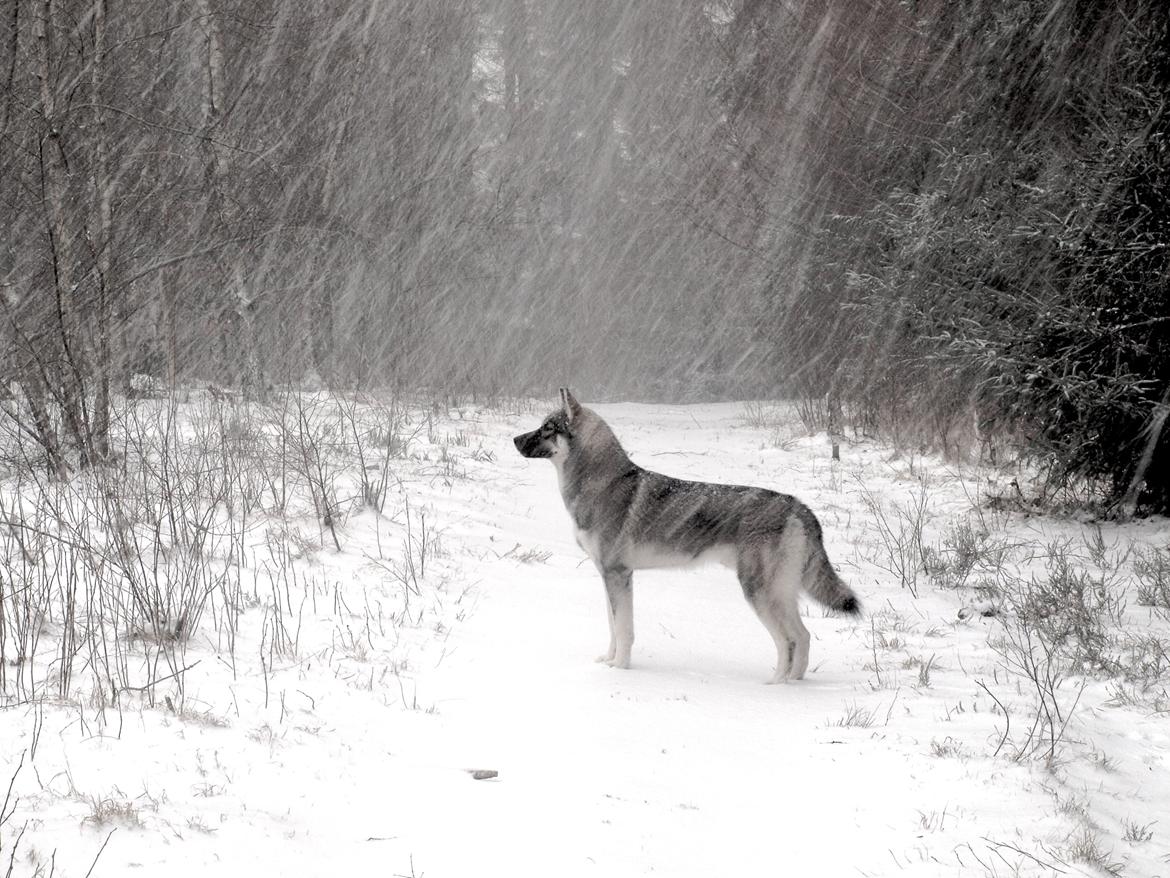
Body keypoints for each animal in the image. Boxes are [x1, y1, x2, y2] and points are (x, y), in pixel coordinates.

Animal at [513, 389, 860, 682]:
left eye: (547, 428)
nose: (514, 439)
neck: (599, 484)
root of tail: (799, 506)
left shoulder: (618, 575)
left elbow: (624, 630)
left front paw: (620, 669)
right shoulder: (609, 577)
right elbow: (613, 629)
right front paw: (608, 662)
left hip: (759, 593)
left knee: (788, 640)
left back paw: (775, 686)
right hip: (781, 593)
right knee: (803, 636)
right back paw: (793, 684)